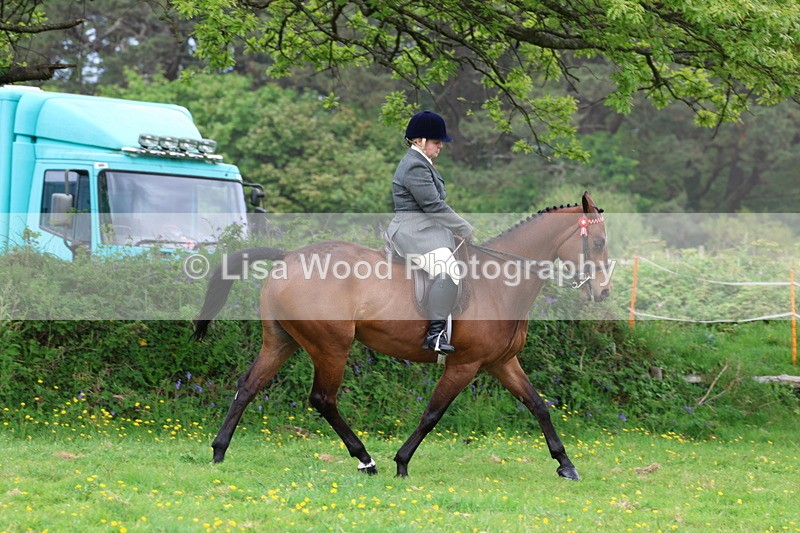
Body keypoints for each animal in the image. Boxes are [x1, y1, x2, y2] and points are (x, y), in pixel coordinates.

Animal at [192, 191, 611, 480]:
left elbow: (538, 405)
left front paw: (566, 465)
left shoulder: (501, 362)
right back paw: (366, 459)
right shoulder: (465, 364)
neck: (501, 282)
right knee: (323, 399)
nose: (603, 293)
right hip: (331, 345)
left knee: (248, 386)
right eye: (599, 242)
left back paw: (218, 451)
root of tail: (287, 257)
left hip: (282, 341)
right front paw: (402, 461)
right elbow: (433, 413)